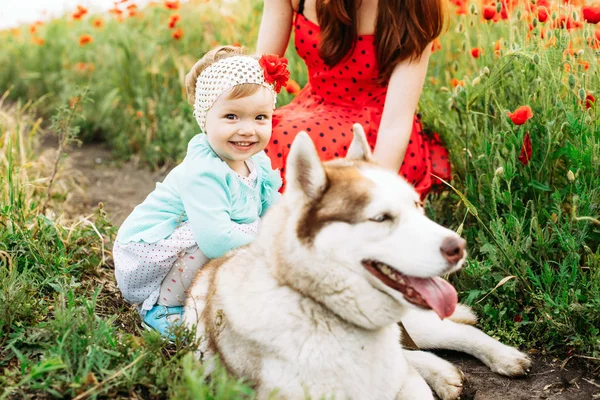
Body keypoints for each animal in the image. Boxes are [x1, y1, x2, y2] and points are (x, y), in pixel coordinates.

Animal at [183, 123, 528, 398]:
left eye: (417, 205)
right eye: (381, 218)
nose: (459, 246)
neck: (327, 313)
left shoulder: (404, 382)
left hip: (419, 325)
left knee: (455, 334)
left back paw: (504, 356)